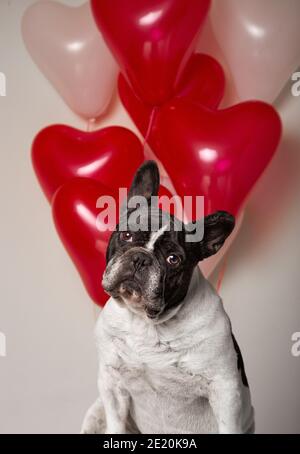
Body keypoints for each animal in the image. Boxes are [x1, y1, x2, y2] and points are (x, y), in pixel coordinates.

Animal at [81, 161, 254, 434]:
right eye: (127, 236)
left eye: (173, 259)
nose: (140, 258)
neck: (147, 323)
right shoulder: (111, 380)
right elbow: (115, 421)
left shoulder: (224, 388)